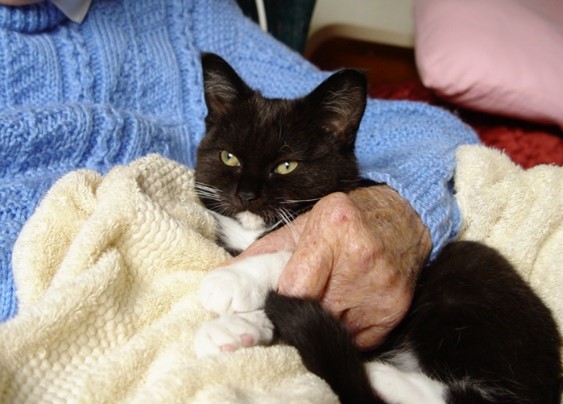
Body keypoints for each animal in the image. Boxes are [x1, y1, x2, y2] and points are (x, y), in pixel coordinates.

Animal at [193, 53, 560, 404]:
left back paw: (380, 374)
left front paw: (234, 279)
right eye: (229, 158)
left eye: (286, 166)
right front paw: (233, 328)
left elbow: (296, 249)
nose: (246, 195)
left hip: (471, 292)